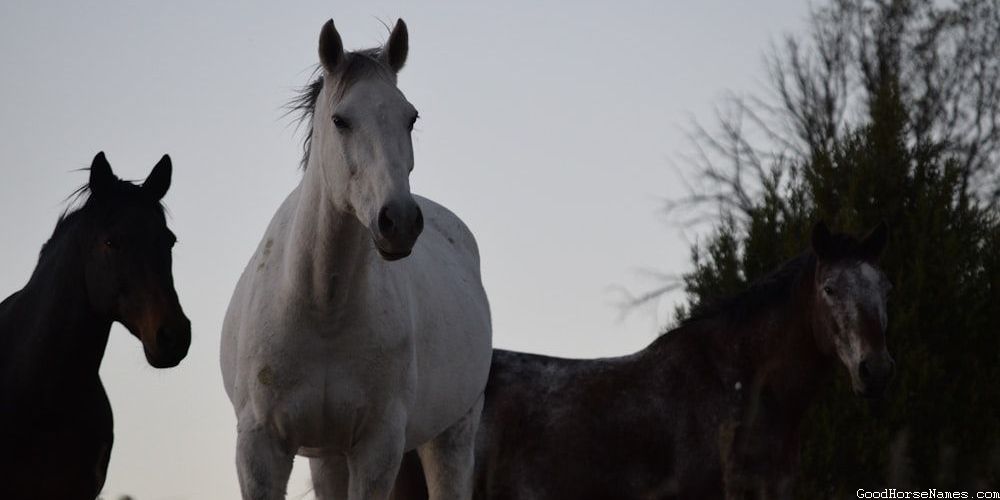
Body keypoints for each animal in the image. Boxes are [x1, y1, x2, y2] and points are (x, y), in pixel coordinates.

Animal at [220, 19, 492, 500]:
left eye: (411, 117)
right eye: (340, 120)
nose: (399, 221)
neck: (322, 307)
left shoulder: (377, 446)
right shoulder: (259, 449)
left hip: (453, 435)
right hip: (327, 454)